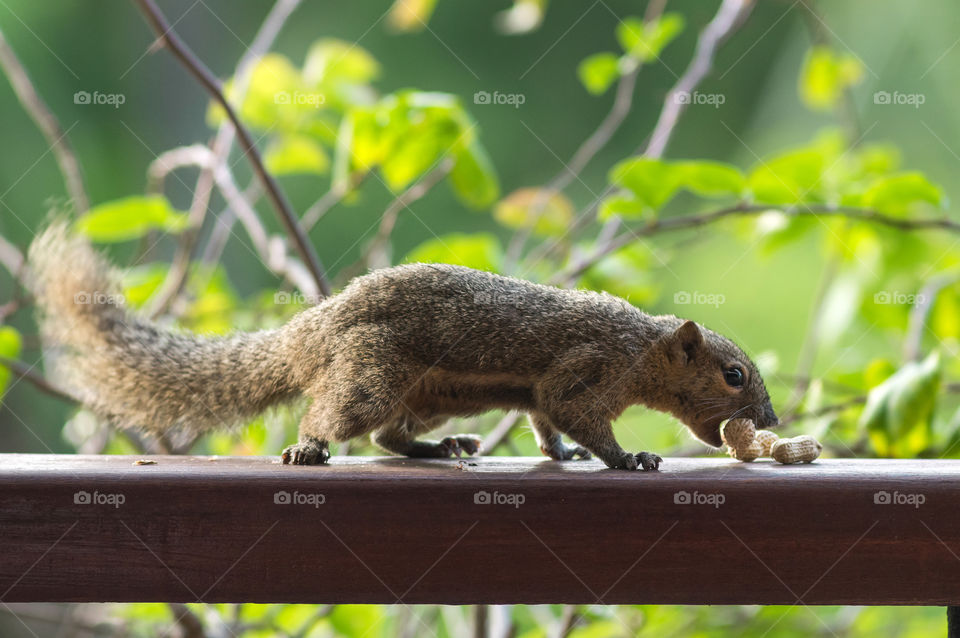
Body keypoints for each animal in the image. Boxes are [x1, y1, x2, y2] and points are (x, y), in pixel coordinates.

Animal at [28, 221, 779, 471]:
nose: (770, 421)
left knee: (390, 438)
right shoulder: (585, 367)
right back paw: (309, 448)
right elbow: (573, 411)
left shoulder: (543, 391)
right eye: (735, 375)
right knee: (339, 417)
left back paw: (441, 449)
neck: (640, 348)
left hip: (429, 395)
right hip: (372, 373)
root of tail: (313, 330)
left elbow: (544, 419)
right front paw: (628, 458)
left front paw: (559, 454)